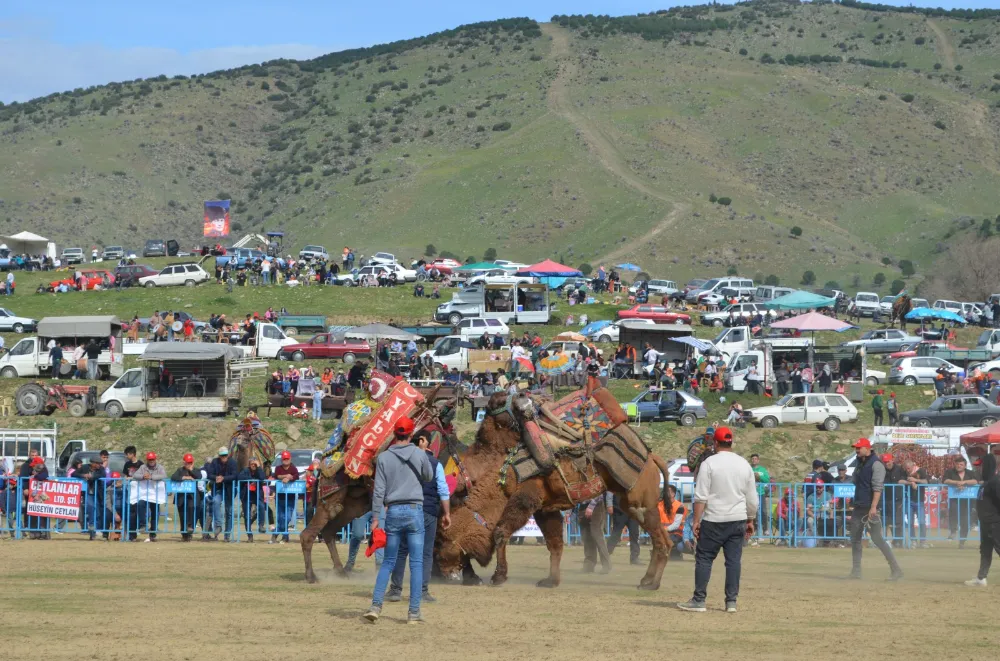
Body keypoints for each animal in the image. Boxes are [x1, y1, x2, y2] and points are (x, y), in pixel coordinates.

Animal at [438, 394, 672, 592]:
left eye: (441, 543)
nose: (443, 570)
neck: (502, 476)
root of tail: (652, 458)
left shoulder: (526, 498)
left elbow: (501, 532)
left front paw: (499, 576)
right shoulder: (545, 509)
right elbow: (555, 544)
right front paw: (551, 580)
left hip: (641, 502)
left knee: (661, 541)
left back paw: (651, 584)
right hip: (630, 503)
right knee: (662, 539)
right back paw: (647, 580)